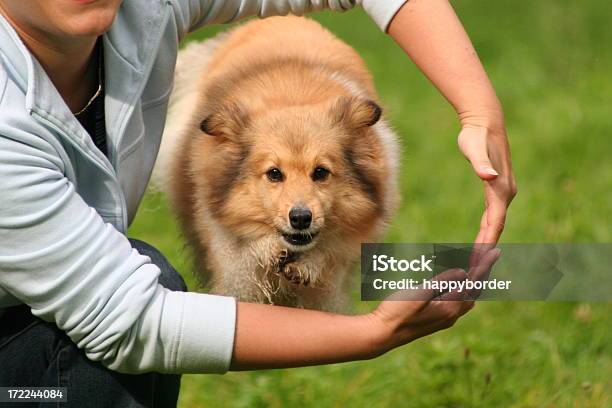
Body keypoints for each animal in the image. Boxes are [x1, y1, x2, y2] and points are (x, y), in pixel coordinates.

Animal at [153, 15, 402, 310]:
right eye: (274, 173)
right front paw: (267, 250)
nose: (301, 218)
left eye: (321, 172)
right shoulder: (237, 270)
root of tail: (283, 18)